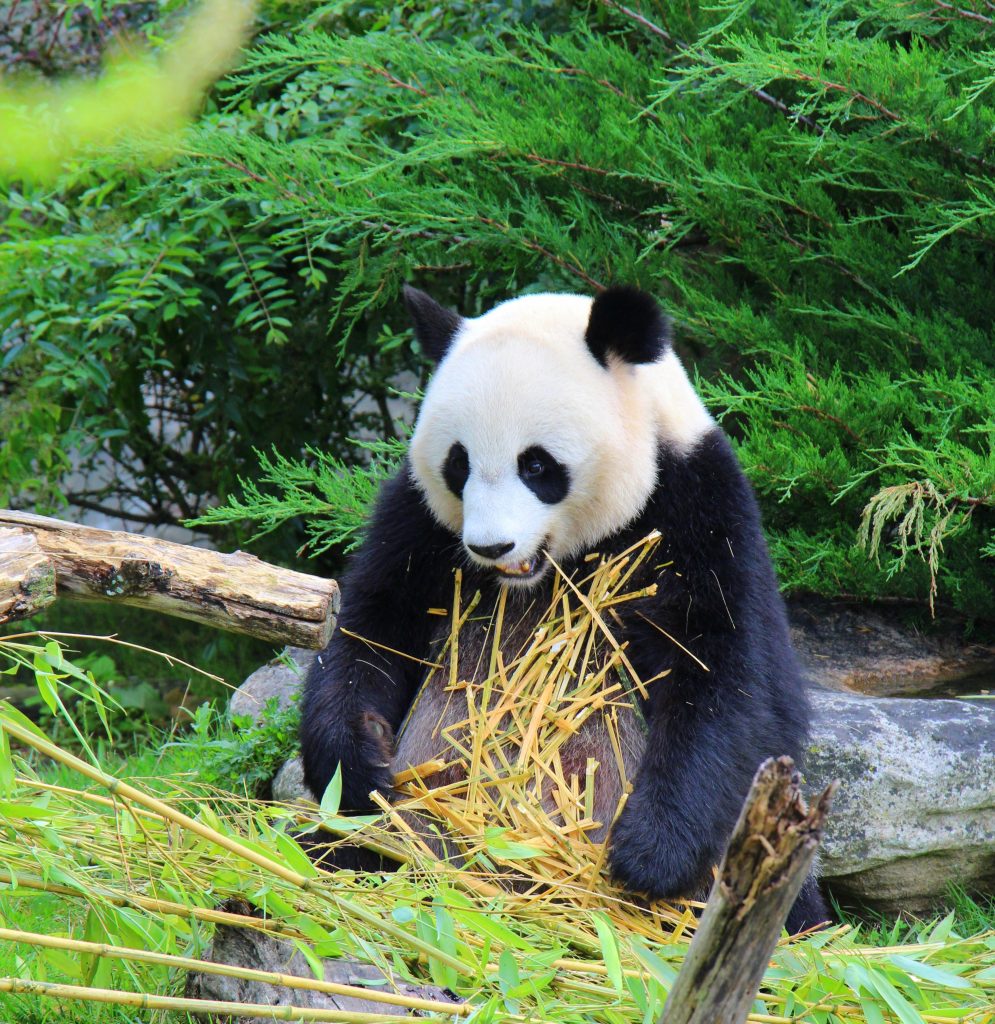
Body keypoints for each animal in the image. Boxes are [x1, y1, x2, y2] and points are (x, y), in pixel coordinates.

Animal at [301, 284, 828, 934]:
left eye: (536, 464)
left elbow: (733, 680)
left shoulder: (700, 510)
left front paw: (649, 856)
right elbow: (371, 627)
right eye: (458, 463)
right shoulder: (417, 520)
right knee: (334, 848)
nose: (491, 547)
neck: (549, 572)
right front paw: (359, 766)